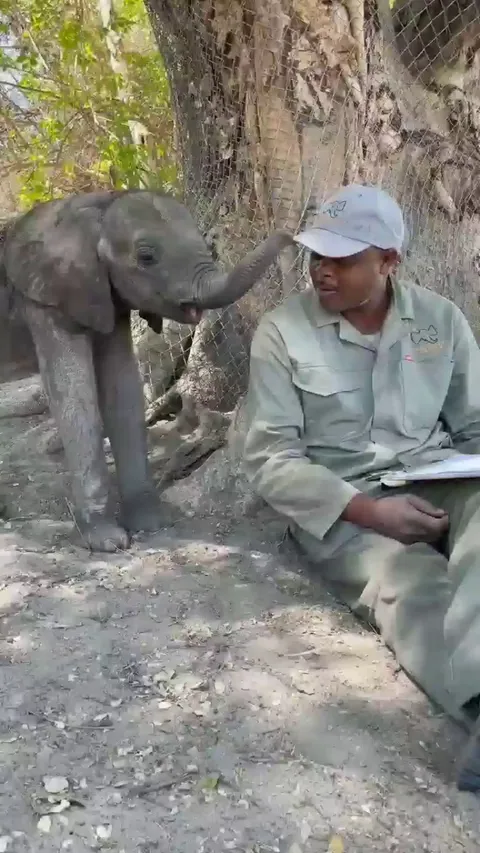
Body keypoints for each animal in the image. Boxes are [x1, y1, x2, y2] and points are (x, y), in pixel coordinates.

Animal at [0, 189, 294, 551]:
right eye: (146, 257)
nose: (290, 235)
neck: (93, 210)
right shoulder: (47, 300)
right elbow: (76, 401)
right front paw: (108, 542)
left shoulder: (107, 300)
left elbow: (124, 393)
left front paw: (150, 525)